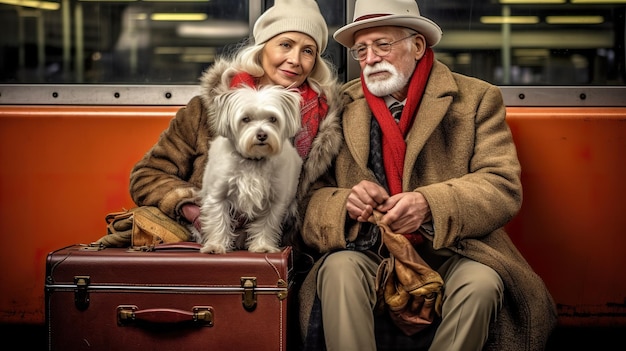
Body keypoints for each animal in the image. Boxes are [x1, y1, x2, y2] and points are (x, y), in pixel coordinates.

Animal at [193, 86, 302, 254]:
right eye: (245, 119)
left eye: (273, 119)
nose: (262, 135)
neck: (253, 161)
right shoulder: (218, 195)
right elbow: (218, 221)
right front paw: (216, 245)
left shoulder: (275, 201)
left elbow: (267, 225)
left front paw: (262, 246)